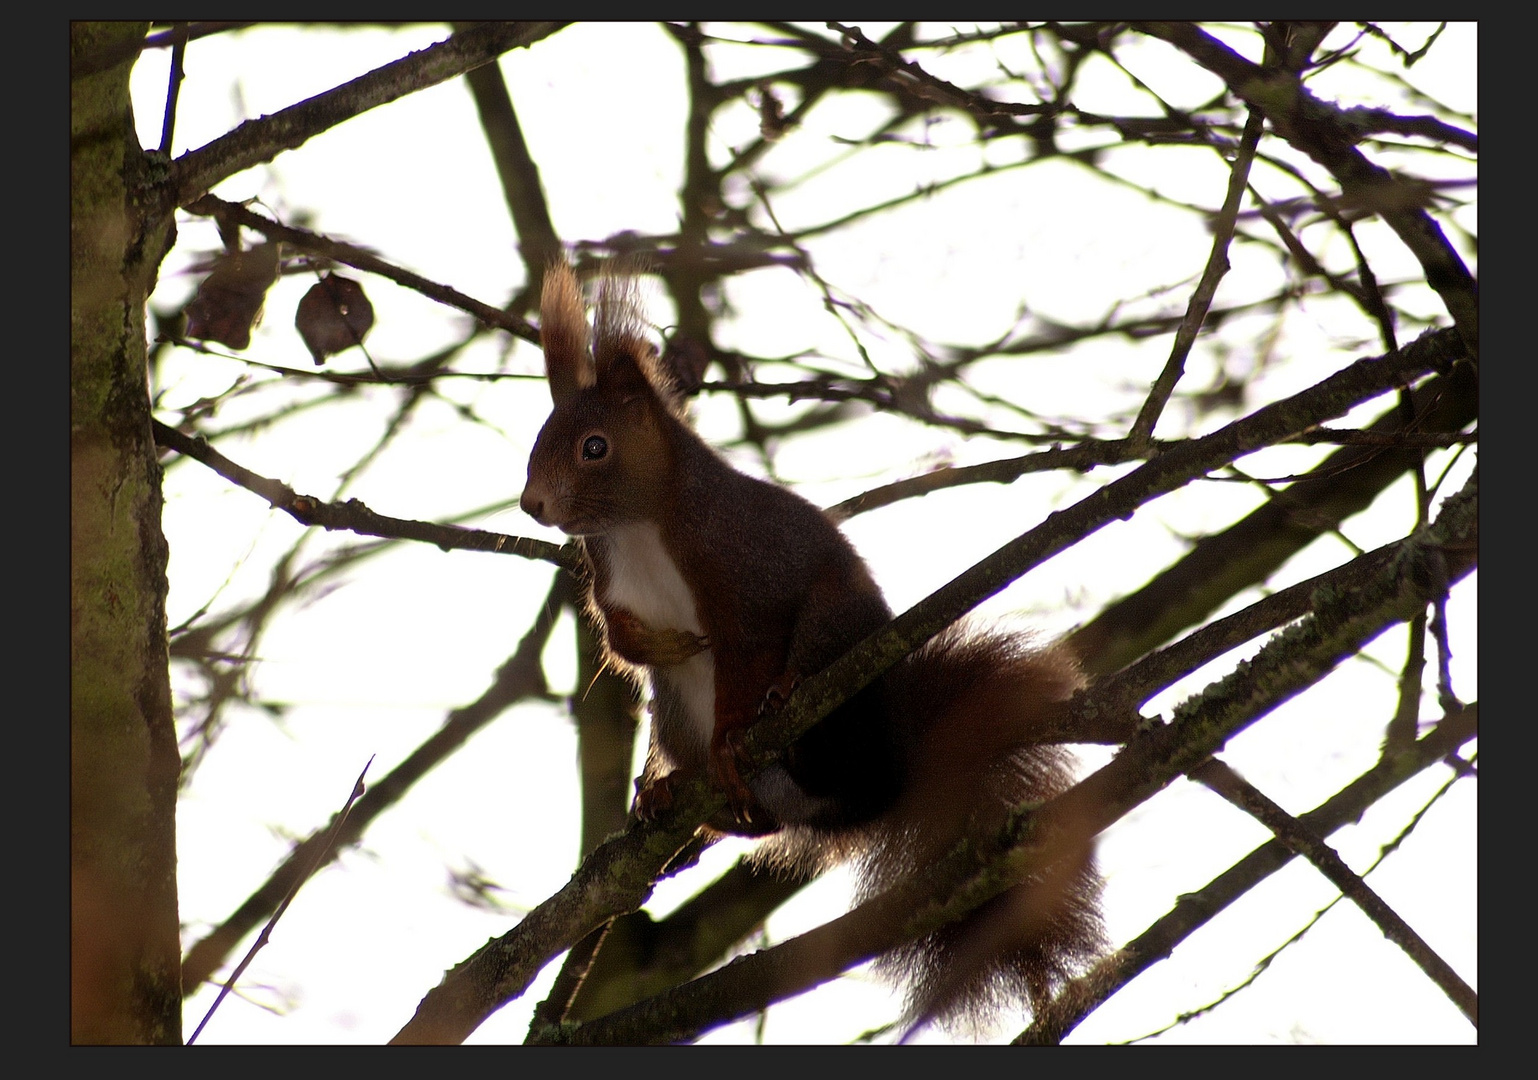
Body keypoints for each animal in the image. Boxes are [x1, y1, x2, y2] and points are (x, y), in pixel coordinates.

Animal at [519, 264, 1107, 1040]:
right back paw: (676, 793)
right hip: (677, 717)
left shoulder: (745, 574)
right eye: (540, 435)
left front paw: (735, 728)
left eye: (594, 446)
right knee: (766, 815)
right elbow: (621, 644)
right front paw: (656, 644)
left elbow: (747, 646)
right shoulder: (608, 577)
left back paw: (781, 712)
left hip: (834, 638)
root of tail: (888, 767)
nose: (531, 505)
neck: (639, 525)